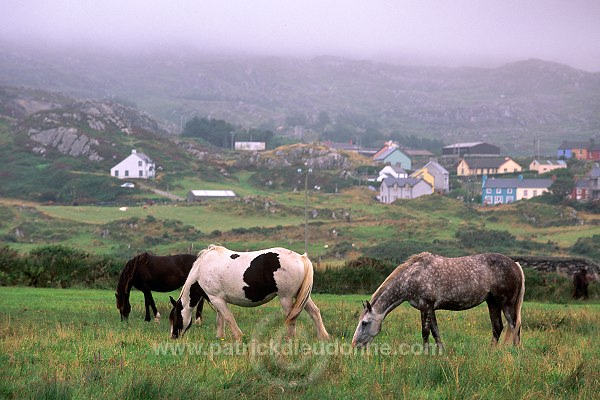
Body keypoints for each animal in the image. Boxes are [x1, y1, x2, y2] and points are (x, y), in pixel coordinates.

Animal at [168, 244, 328, 340]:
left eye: (175, 317)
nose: (173, 337)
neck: (201, 269)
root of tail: (301, 258)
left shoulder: (217, 300)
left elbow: (228, 318)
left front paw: (239, 337)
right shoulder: (217, 299)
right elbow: (220, 320)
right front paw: (220, 338)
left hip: (286, 298)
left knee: (292, 318)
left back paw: (290, 340)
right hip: (301, 296)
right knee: (315, 312)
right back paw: (323, 337)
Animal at [354, 252, 524, 348]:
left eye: (364, 323)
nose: (355, 344)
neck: (412, 276)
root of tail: (515, 265)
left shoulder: (426, 306)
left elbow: (425, 332)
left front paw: (425, 355)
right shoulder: (429, 309)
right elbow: (435, 332)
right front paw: (440, 353)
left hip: (506, 304)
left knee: (514, 326)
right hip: (492, 302)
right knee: (497, 327)